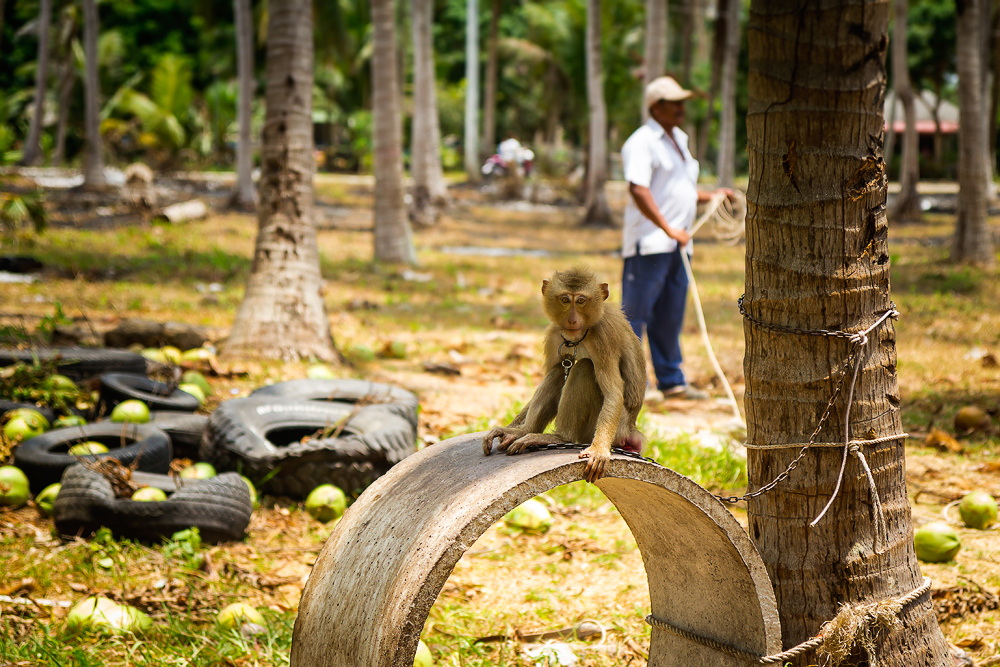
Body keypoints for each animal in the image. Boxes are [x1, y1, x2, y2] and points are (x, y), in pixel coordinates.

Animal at [480, 268, 644, 486]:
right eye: (565, 299)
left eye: (581, 301)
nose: (572, 320)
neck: (579, 336)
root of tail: (630, 430)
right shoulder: (554, 335)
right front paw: (512, 429)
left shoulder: (603, 338)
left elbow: (614, 394)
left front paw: (599, 450)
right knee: (559, 370)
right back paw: (525, 431)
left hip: (602, 429)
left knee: (584, 368)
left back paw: (561, 437)